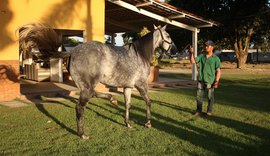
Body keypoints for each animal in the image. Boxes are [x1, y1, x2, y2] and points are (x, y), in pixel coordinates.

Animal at [19, 23, 175, 139]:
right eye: (167, 35)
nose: (174, 51)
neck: (140, 55)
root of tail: (72, 51)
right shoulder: (141, 85)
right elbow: (148, 102)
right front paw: (148, 123)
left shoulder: (128, 87)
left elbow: (128, 105)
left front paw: (128, 123)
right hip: (88, 86)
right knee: (80, 107)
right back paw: (82, 134)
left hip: (86, 86)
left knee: (93, 95)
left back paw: (112, 99)